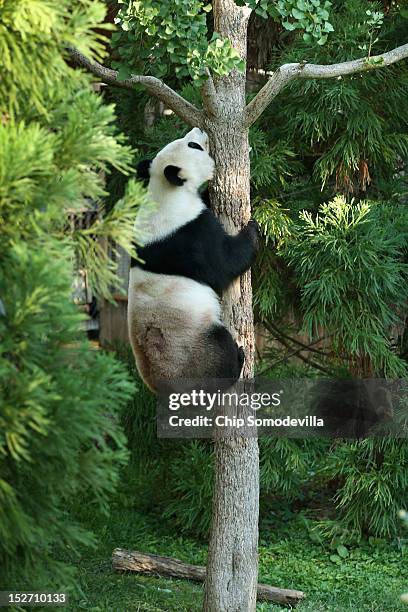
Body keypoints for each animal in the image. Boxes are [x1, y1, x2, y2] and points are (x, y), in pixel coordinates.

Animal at [128, 126, 258, 392]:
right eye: (193, 146)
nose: (199, 129)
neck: (165, 192)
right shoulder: (189, 233)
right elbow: (223, 264)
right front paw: (252, 230)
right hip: (193, 345)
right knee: (217, 349)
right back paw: (236, 361)